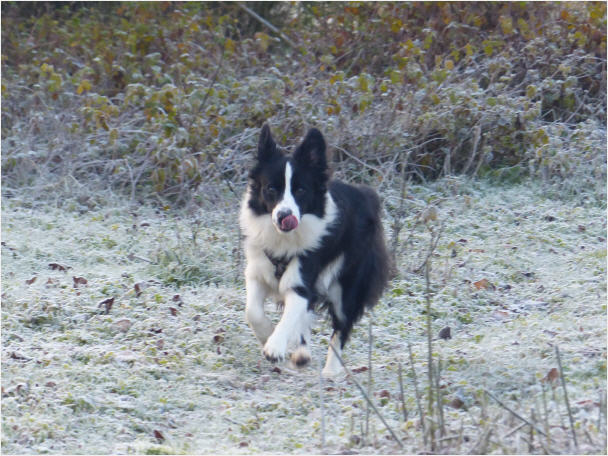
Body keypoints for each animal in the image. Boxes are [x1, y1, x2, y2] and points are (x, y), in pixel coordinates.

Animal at [240, 124, 389, 377]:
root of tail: (365, 194)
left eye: (301, 190)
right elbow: (253, 311)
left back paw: (331, 371)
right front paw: (267, 334)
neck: (283, 240)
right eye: (271, 188)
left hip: (347, 281)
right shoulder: (258, 271)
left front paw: (274, 346)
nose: (284, 216)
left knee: (341, 324)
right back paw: (301, 353)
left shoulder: (303, 275)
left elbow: (293, 311)